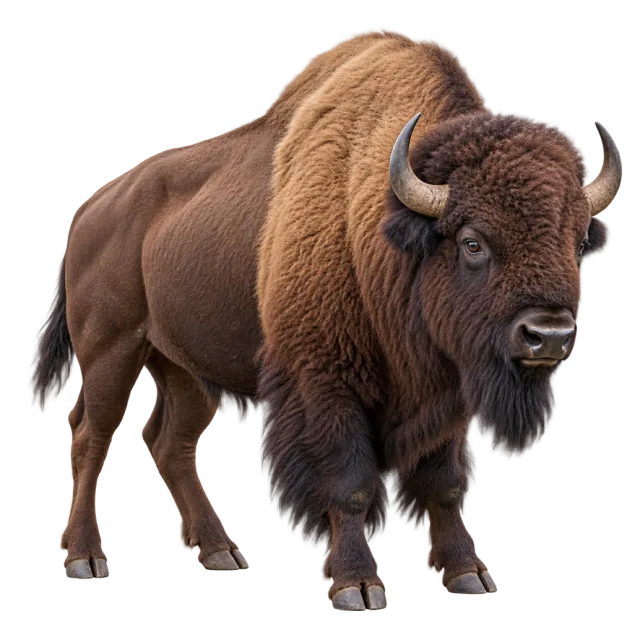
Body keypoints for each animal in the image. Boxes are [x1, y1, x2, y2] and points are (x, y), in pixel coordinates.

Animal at [30, 28, 621, 610]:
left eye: (575, 243)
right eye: (472, 242)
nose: (549, 334)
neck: (381, 228)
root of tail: (93, 208)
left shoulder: (446, 391)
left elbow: (445, 484)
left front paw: (469, 575)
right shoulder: (326, 381)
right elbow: (349, 484)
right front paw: (356, 587)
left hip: (185, 368)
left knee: (169, 442)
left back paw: (222, 553)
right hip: (111, 350)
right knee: (90, 438)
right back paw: (87, 559)